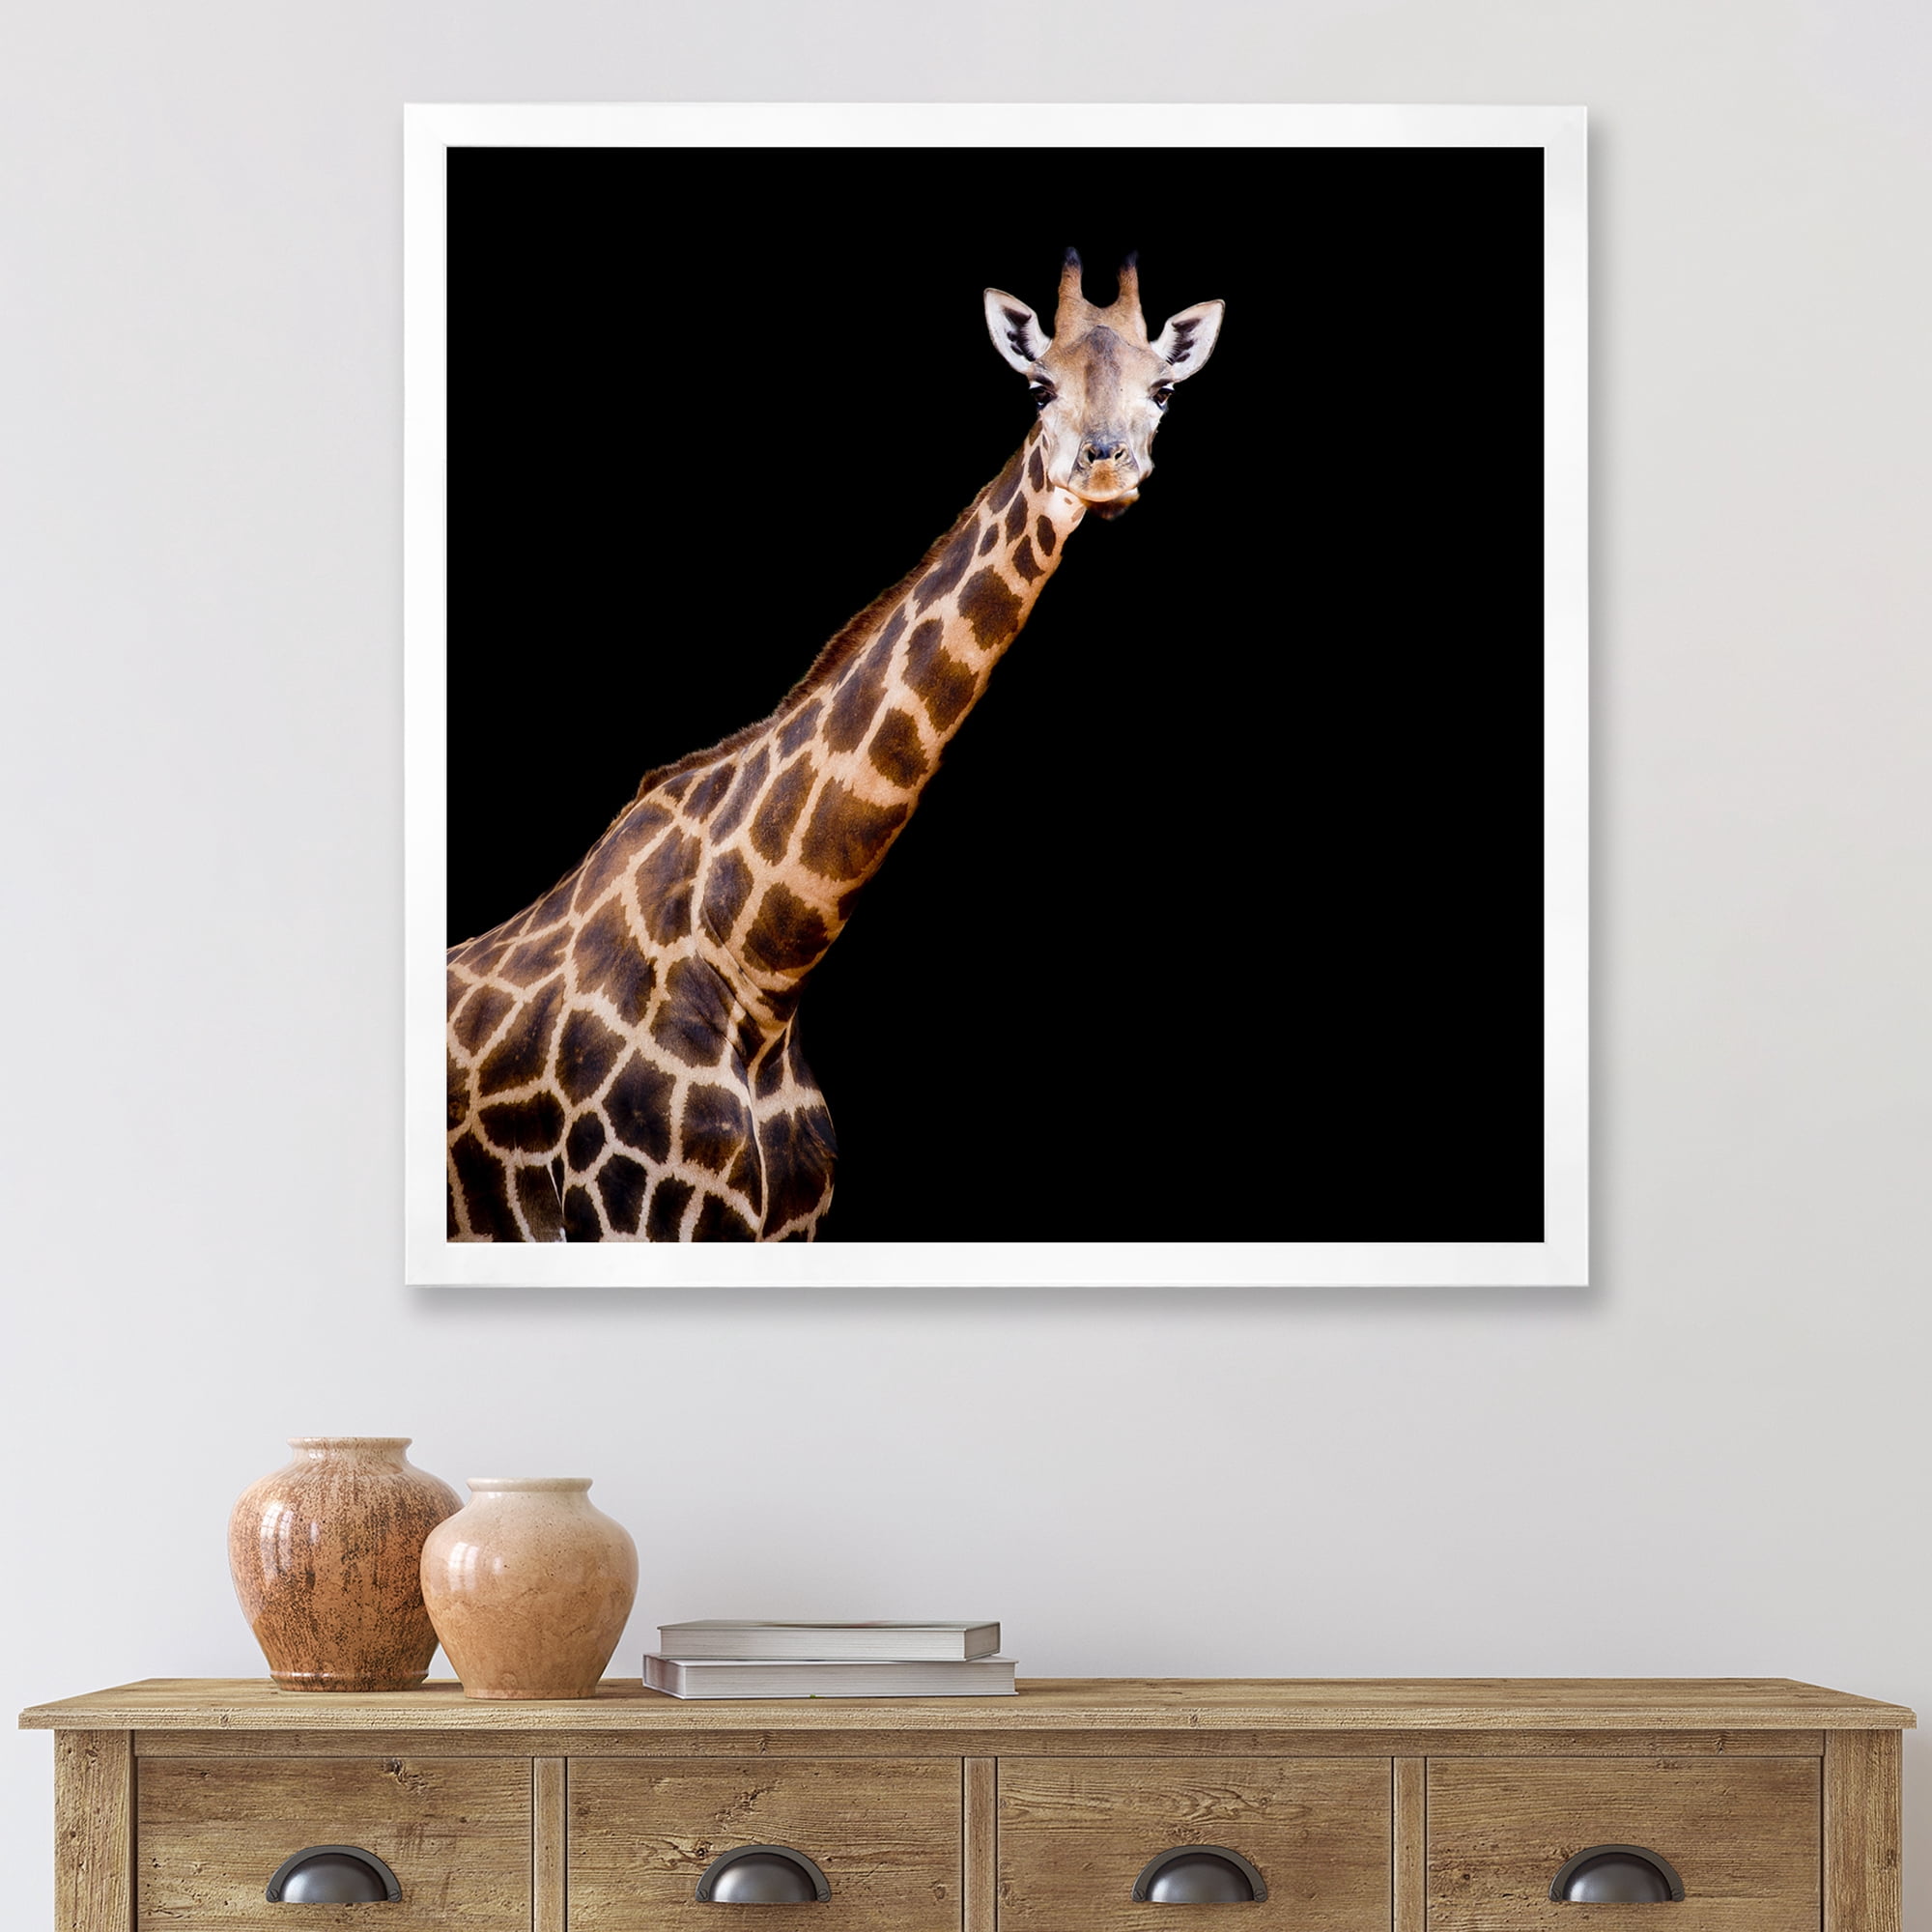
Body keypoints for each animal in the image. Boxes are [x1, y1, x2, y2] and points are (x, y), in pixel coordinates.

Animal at [445, 251, 1223, 1241]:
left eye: (1163, 389)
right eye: (1038, 387)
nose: (1103, 467)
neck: (759, 969)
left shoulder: (790, 1227)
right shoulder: (621, 1217)